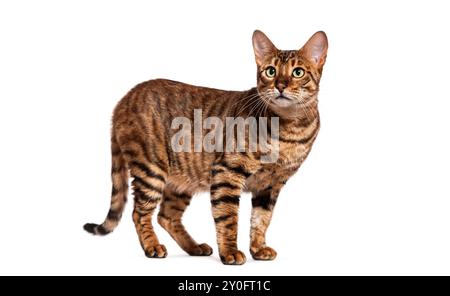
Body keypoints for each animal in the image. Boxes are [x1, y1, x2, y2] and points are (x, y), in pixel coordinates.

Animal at [84, 30, 328, 266]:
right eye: (270, 71)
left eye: (298, 72)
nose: (280, 85)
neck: (289, 128)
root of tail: (123, 100)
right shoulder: (227, 171)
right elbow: (228, 218)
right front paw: (229, 252)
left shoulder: (270, 185)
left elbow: (261, 220)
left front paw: (258, 249)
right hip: (151, 169)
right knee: (140, 213)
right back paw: (152, 246)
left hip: (180, 182)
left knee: (166, 216)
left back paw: (194, 247)